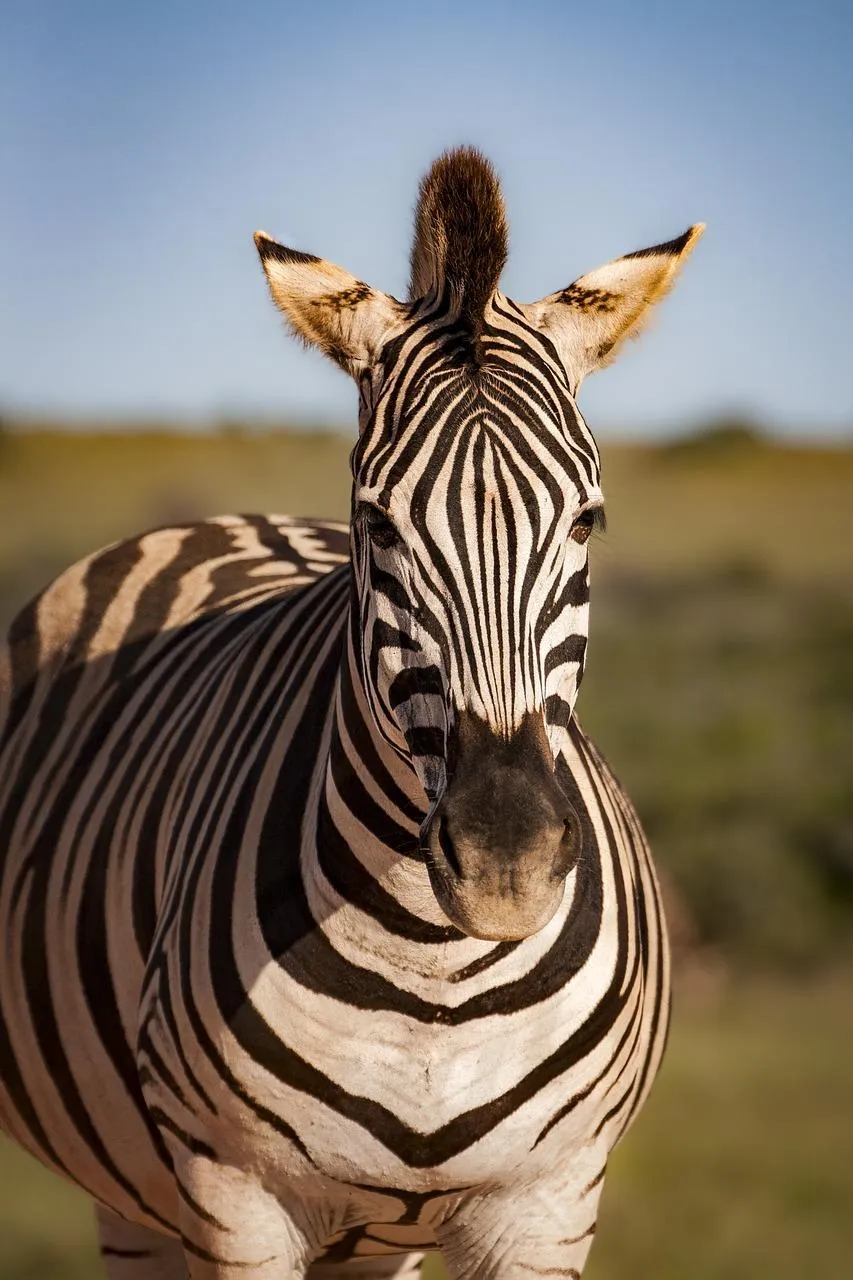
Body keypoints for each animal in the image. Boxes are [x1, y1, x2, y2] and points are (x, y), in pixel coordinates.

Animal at [0, 147, 702, 1278]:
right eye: (378, 522)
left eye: (587, 519)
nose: (505, 862)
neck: (434, 969)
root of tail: (230, 517)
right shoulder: (235, 1196)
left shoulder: (547, 1200)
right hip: (136, 1200)